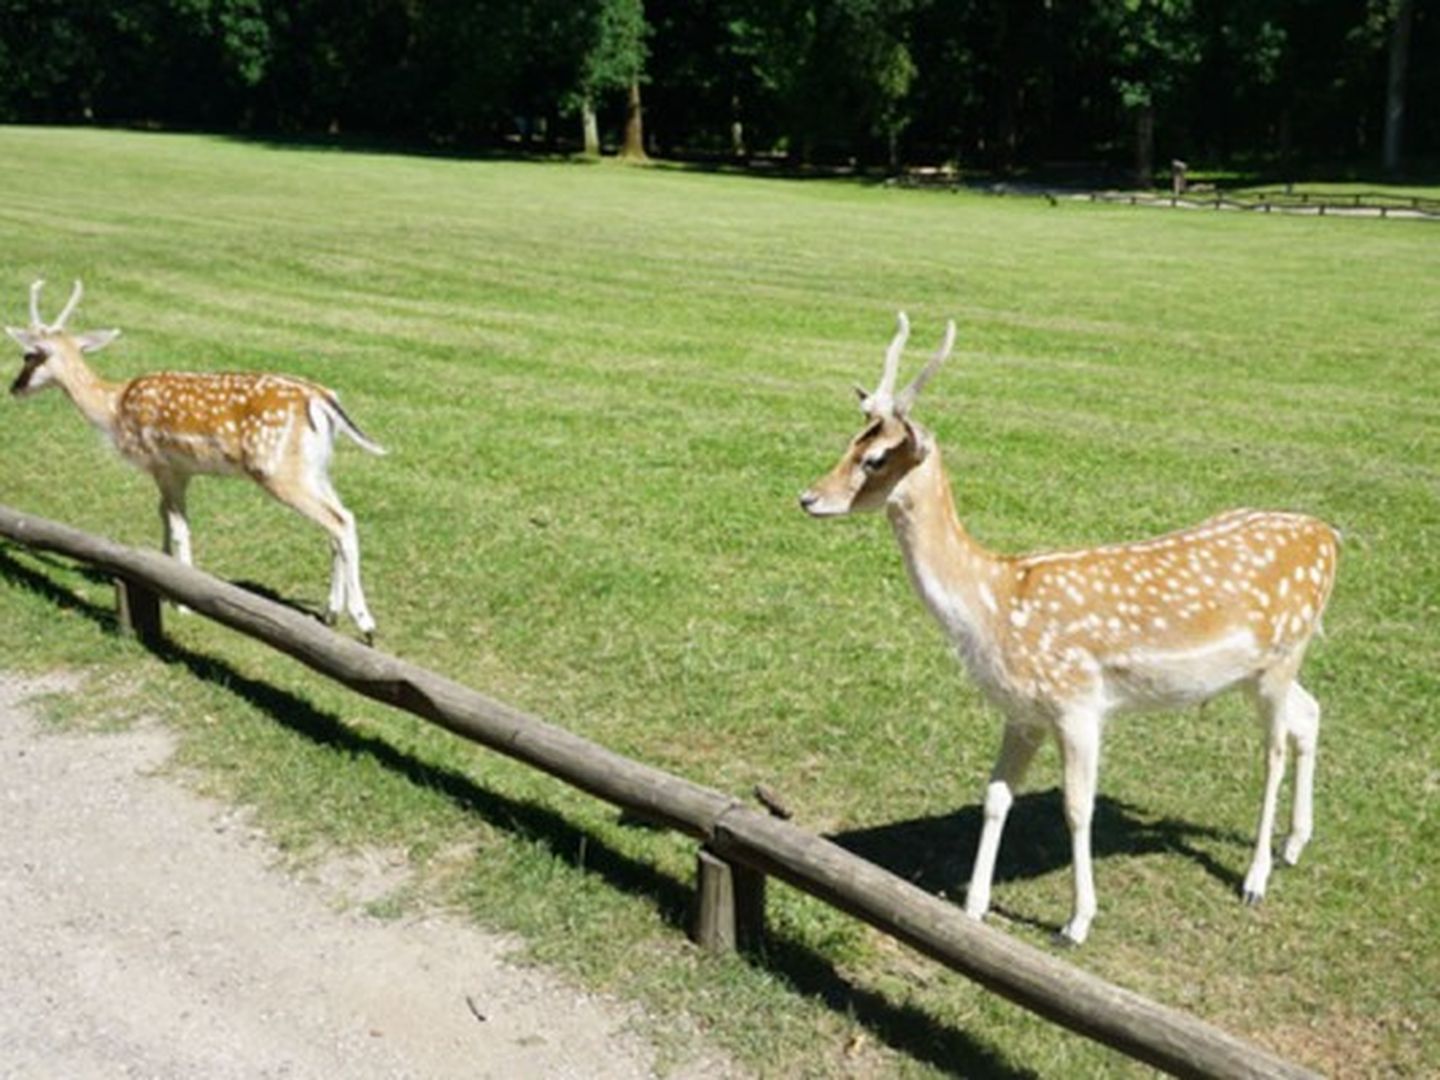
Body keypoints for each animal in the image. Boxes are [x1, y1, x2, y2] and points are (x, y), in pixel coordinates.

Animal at [5, 279, 385, 648]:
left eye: (29, 355)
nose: (14, 387)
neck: (113, 409)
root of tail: (322, 399)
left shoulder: (163, 464)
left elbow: (178, 526)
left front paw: (183, 602)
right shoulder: (179, 470)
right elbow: (164, 516)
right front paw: (160, 580)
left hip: (278, 470)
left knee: (338, 522)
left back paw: (365, 623)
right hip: (315, 468)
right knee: (342, 518)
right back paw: (331, 612)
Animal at [800, 312, 1336, 944]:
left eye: (876, 459)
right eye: (849, 443)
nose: (808, 497)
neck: (995, 603)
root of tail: (1330, 537)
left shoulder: (1077, 703)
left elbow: (1077, 810)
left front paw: (1076, 921)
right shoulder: (1022, 711)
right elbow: (995, 797)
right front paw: (972, 907)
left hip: (1283, 654)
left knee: (1273, 750)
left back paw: (1255, 879)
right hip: (1263, 670)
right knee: (1310, 713)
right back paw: (1294, 845)